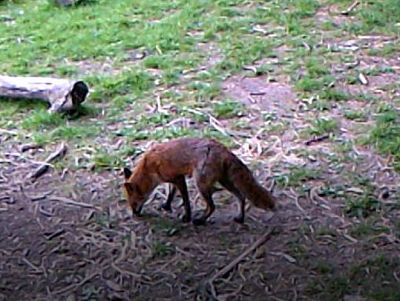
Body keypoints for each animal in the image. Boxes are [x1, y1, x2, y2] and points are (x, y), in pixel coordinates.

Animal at [123, 137, 276, 224]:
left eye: (134, 203)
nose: (135, 214)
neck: (148, 166)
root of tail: (223, 149)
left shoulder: (179, 179)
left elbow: (186, 202)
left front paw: (187, 218)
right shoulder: (173, 179)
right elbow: (170, 195)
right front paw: (166, 206)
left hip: (201, 184)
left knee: (212, 206)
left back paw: (200, 221)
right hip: (224, 182)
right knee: (241, 196)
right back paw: (240, 218)